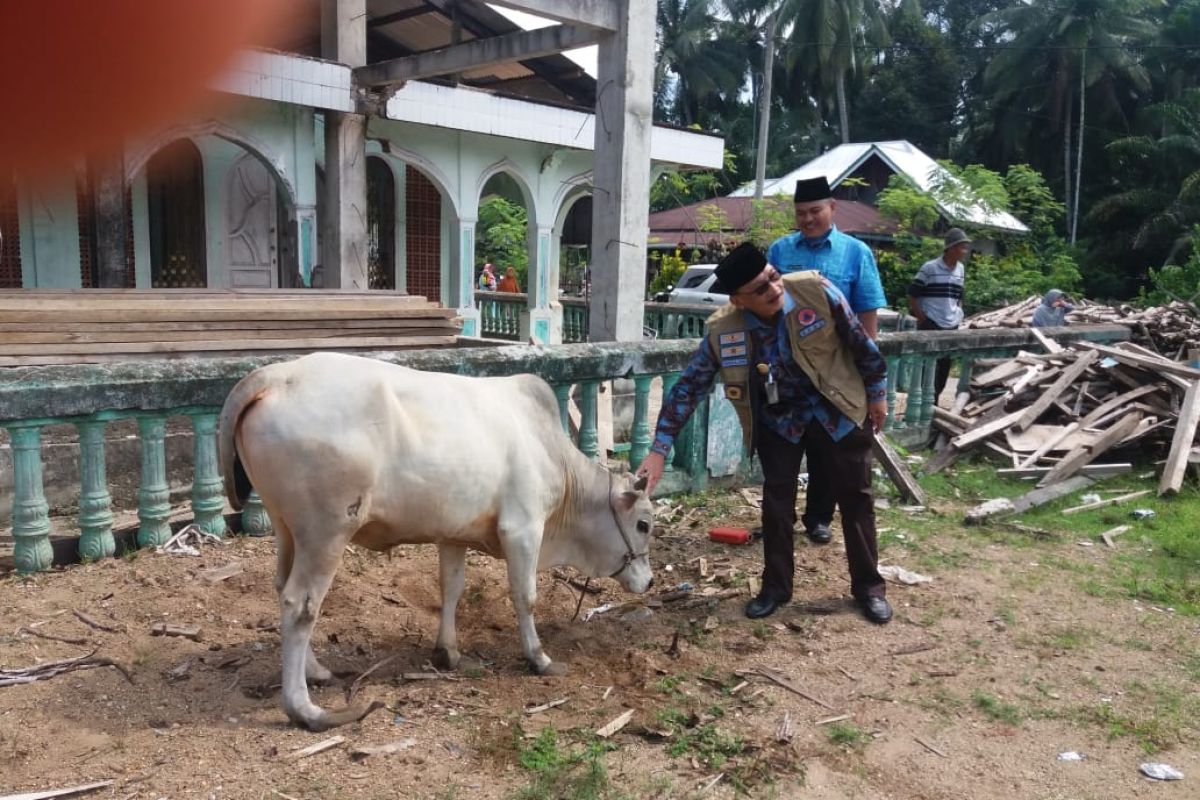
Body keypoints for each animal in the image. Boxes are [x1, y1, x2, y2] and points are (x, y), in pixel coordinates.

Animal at [218, 352, 657, 734]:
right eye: (644, 524)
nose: (649, 581)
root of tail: (278, 374)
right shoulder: (523, 528)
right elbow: (525, 596)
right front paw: (540, 657)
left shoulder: (454, 535)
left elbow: (452, 590)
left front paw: (447, 651)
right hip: (326, 531)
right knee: (301, 604)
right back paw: (306, 709)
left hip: (286, 528)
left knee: (282, 588)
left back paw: (316, 671)